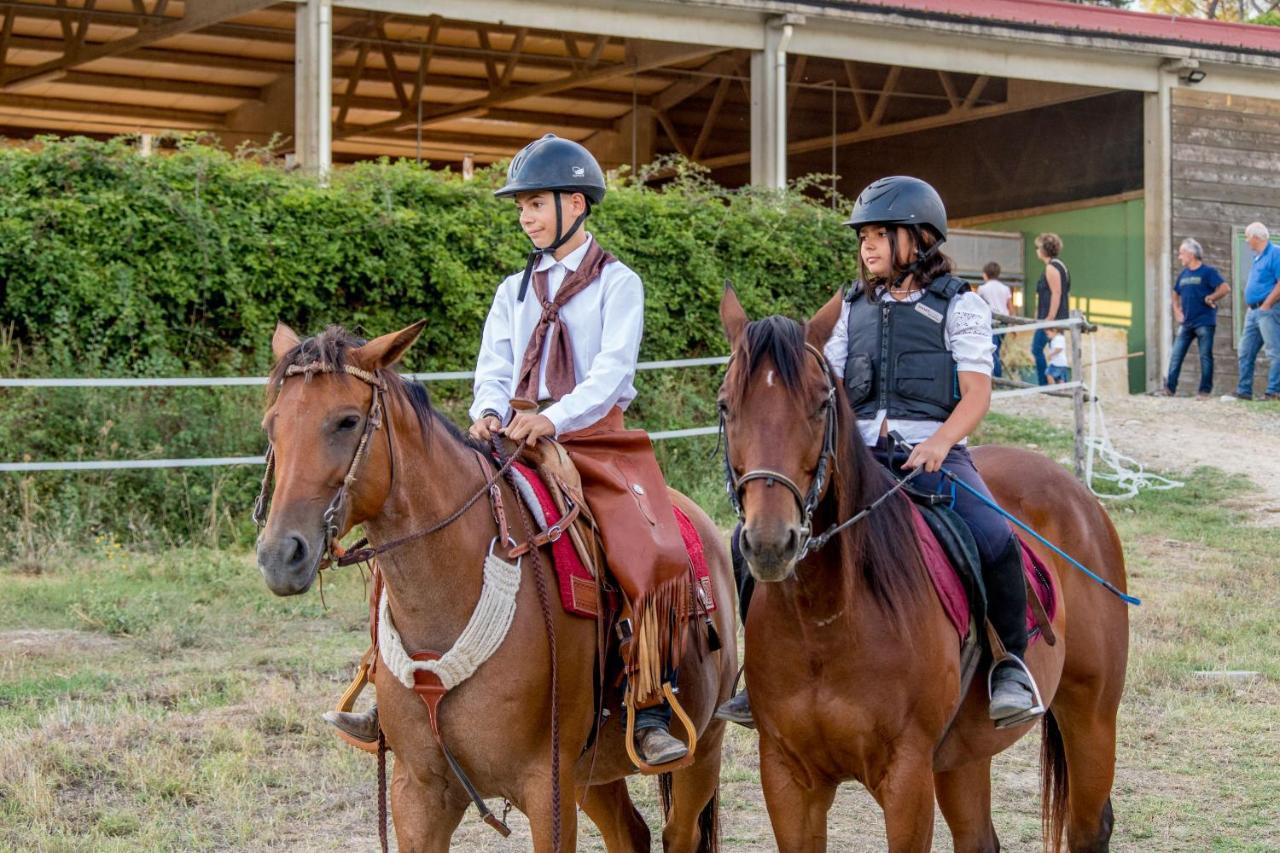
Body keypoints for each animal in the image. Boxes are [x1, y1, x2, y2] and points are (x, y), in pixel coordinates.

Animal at [254, 320, 737, 850]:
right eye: (272, 424)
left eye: (346, 421)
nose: (280, 555)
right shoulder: (417, 793)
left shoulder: (547, 790)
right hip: (594, 775)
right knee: (630, 832)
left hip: (702, 748)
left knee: (679, 831)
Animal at [721, 286, 1131, 850]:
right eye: (726, 405)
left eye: (821, 403)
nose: (769, 541)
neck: (824, 620)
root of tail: (1076, 490)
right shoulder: (787, 778)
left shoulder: (906, 778)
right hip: (965, 754)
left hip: (1090, 715)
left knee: (1089, 827)